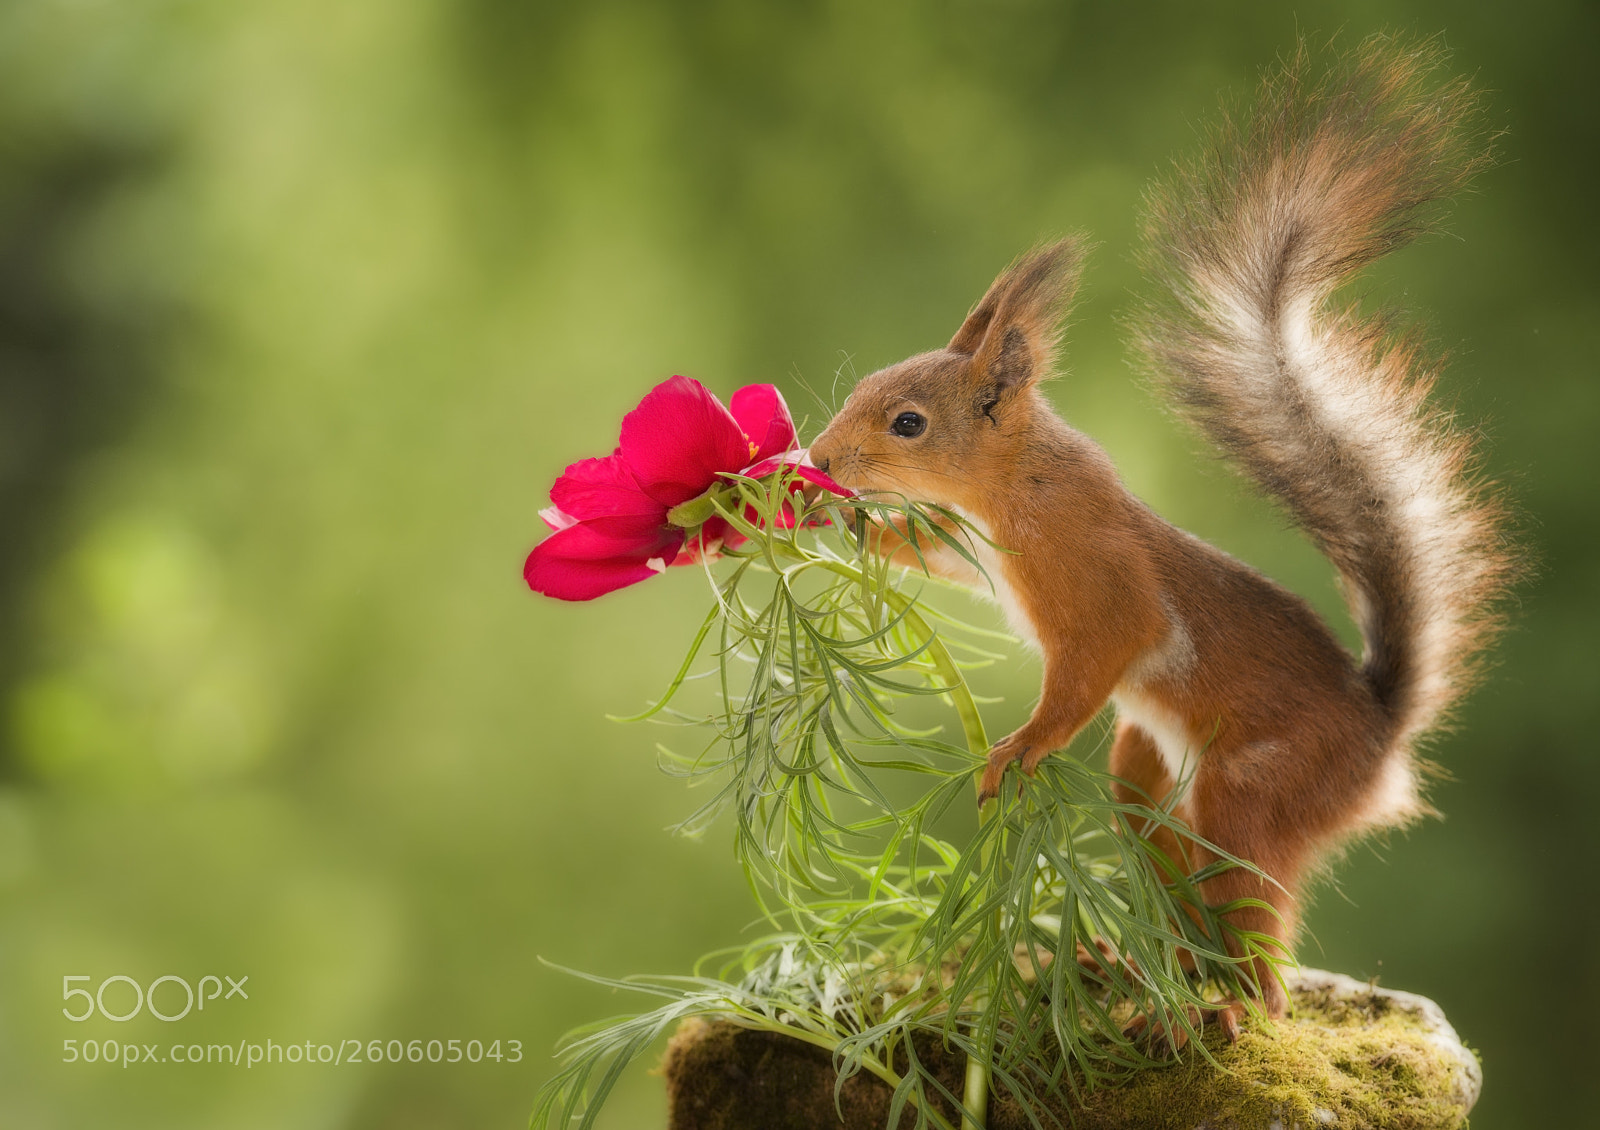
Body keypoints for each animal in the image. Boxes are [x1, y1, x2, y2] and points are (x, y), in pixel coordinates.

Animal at [805, 39, 1513, 1032]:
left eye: (907, 423)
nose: (822, 458)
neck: (1015, 488)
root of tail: (1381, 743)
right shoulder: (982, 557)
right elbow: (938, 557)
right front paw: (854, 527)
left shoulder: (1097, 581)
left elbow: (1093, 663)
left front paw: (1017, 751)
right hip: (1144, 773)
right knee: (1165, 861)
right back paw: (1148, 972)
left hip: (1255, 789)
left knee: (1258, 917)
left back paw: (1236, 1008)